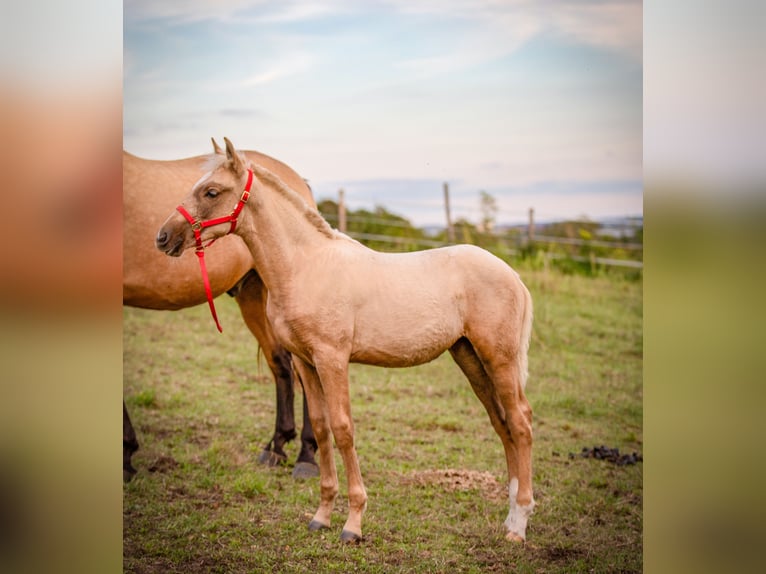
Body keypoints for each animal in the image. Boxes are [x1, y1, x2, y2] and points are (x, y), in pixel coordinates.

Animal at [123, 142, 318, 484]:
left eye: (211, 192)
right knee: (281, 363)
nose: (162, 236)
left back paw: (307, 456)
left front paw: (126, 457)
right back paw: (276, 446)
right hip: (253, 293)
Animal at [156, 138, 536, 544]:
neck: (306, 266)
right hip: (468, 356)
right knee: (501, 422)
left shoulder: (332, 358)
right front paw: (321, 515)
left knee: (521, 422)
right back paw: (510, 517)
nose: (163, 237)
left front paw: (353, 523)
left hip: (499, 358)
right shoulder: (306, 361)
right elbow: (322, 428)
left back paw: (519, 525)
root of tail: (512, 274)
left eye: (211, 191)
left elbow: (343, 428)